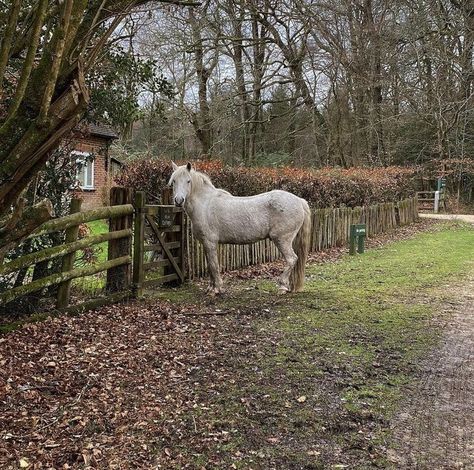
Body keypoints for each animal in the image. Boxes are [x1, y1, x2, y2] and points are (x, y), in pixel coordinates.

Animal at [169, 162, 312, 294]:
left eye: (188, 181)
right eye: (174, 181)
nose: (178, 200)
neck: (205, 204)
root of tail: (299, 201)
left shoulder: (210, 242)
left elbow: (213, 266)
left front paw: (216, 289)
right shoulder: (205, 244)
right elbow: (209, 266)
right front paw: (210, 288)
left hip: (282, 240)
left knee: (291, 259)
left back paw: (282, 286)